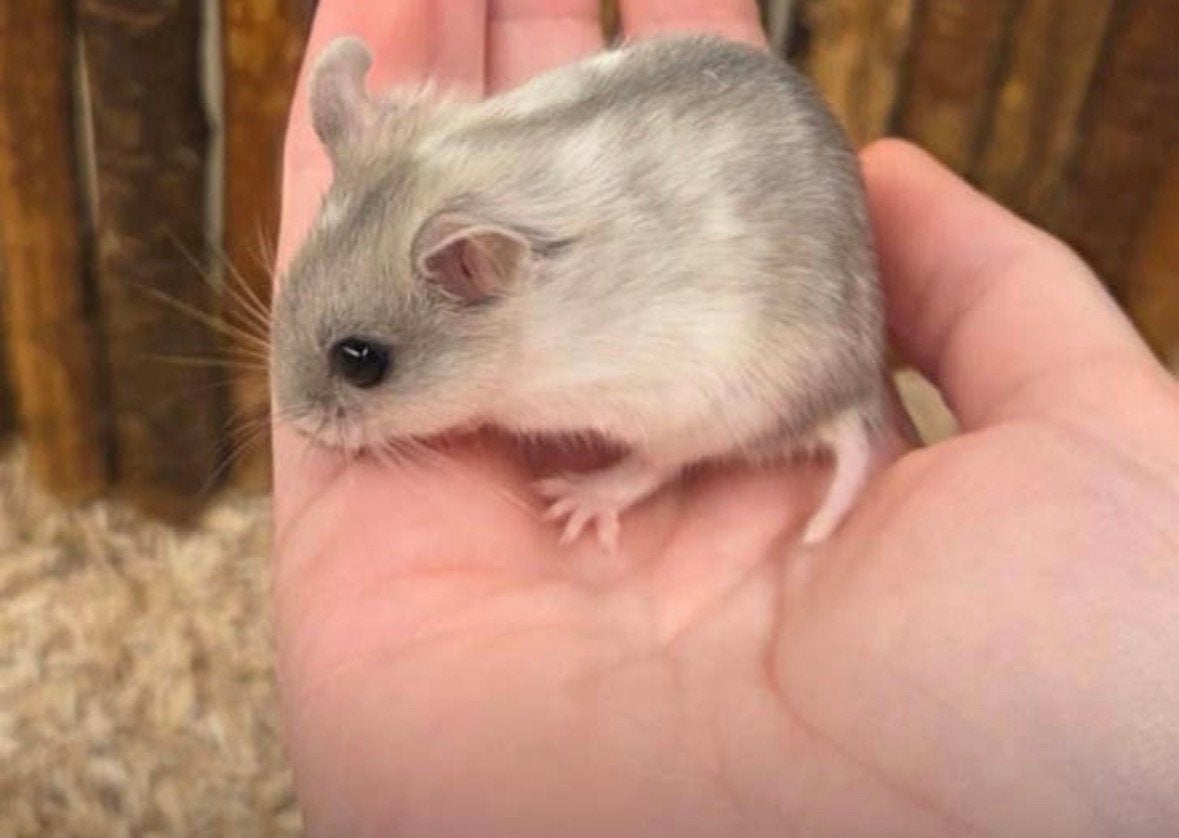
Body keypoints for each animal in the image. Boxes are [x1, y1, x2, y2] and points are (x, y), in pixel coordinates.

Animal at [272, 34, 885, 549]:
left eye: (361, 361)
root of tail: (850, 391)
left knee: (657, 465)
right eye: (285, 294)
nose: (298, 425)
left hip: (711, 410)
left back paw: (579, 500)